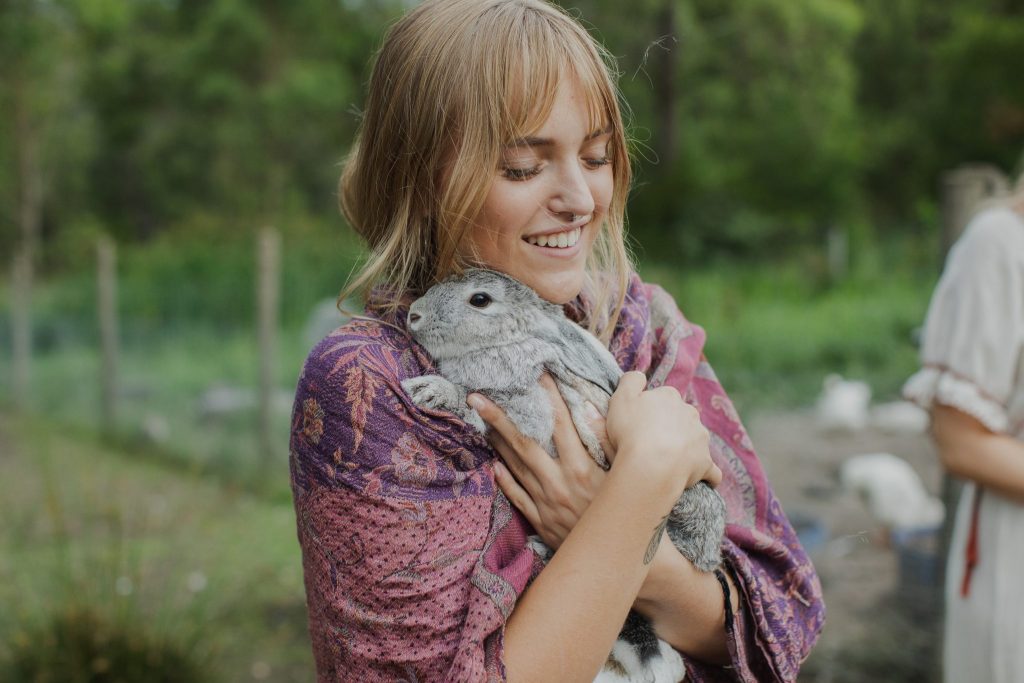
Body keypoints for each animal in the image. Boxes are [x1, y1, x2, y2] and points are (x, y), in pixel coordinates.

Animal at [399, 268, 729, 683]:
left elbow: (475, 400)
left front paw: (431, 390)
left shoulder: (524, 405)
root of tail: (706, 560)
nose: (415, 314)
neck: (512, 338)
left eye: (480, 300)